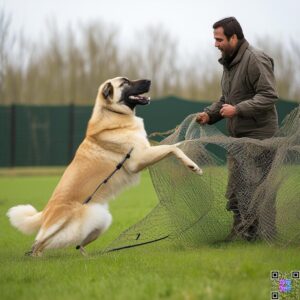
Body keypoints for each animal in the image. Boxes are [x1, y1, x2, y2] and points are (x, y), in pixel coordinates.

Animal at [7, 77, 203, 255]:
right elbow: (171, 148)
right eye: (125, 83)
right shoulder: (138, 159)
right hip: (71, 229)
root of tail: (46, 212)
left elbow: (175, 145)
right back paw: (37, 255)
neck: (114, 115)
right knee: (40, 243)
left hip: (100, 221)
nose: (149, 80)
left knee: (76, 243)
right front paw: (193, 165)